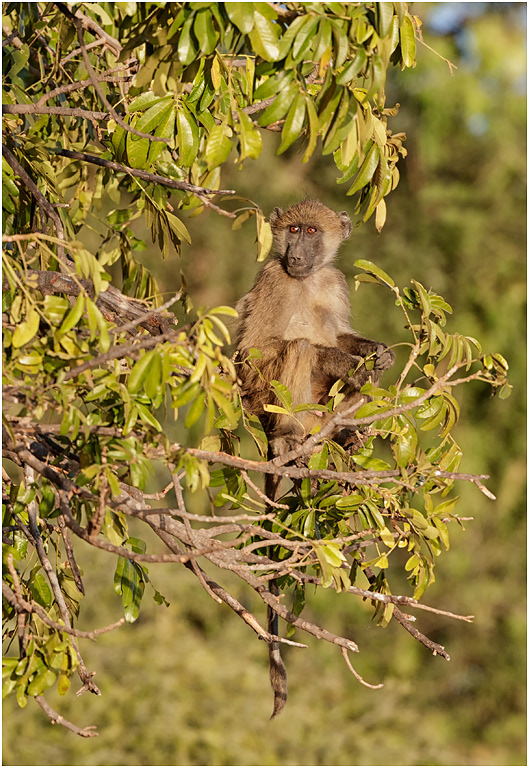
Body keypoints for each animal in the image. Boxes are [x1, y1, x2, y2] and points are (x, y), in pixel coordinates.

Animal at [234, 199, 394, 718]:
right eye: (293, 230)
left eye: (311, 232)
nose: (296, 255)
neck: (304, 280)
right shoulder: (273, 282)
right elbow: (258, 349)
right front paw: (347, 360)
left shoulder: (333, 281)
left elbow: (345, 336)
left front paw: (374, 351)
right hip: (268, 404)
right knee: (301, 348)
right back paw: (289, 442)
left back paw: (346, 436)